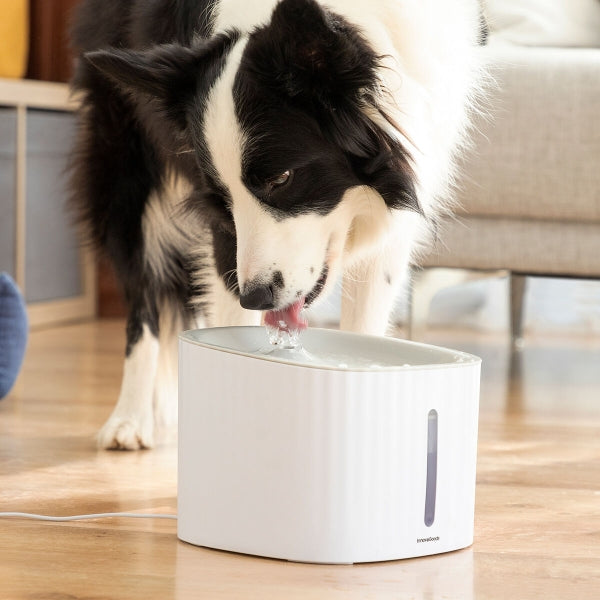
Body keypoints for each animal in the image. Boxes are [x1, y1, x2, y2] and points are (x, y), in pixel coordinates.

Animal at [69, 0, 488, 450]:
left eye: (281, 178)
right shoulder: (224, 233)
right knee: (143, 294)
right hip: (126, 175)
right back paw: (129, 420)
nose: (255, 298)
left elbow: (366, 326)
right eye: (221, 195)